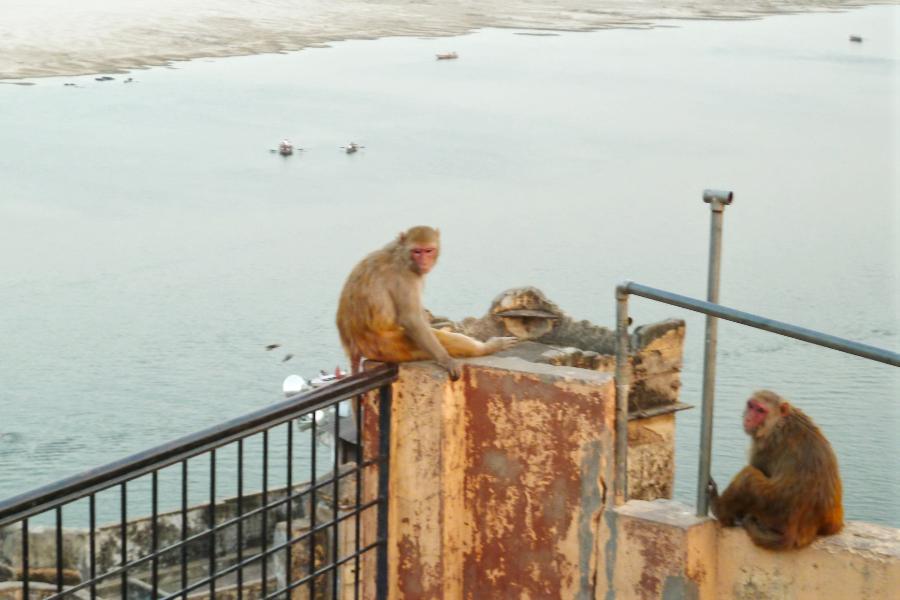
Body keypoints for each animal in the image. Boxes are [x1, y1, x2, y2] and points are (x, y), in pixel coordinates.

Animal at [336, 226, 517, 380]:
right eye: (417, 251)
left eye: (428, 251)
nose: (423, 262)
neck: (401, 254)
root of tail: (354, 347)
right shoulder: (405, 278)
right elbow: (412, 320)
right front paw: (446, 360)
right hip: (389, 346)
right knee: (440, 338)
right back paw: (489, 347)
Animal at [708, 390, 843, 550]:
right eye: (751, 406)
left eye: (761, 410)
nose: (749, 418)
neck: (780, 421)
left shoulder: (763, 446)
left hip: (772, 509)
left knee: (748, 476)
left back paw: (719, 510)